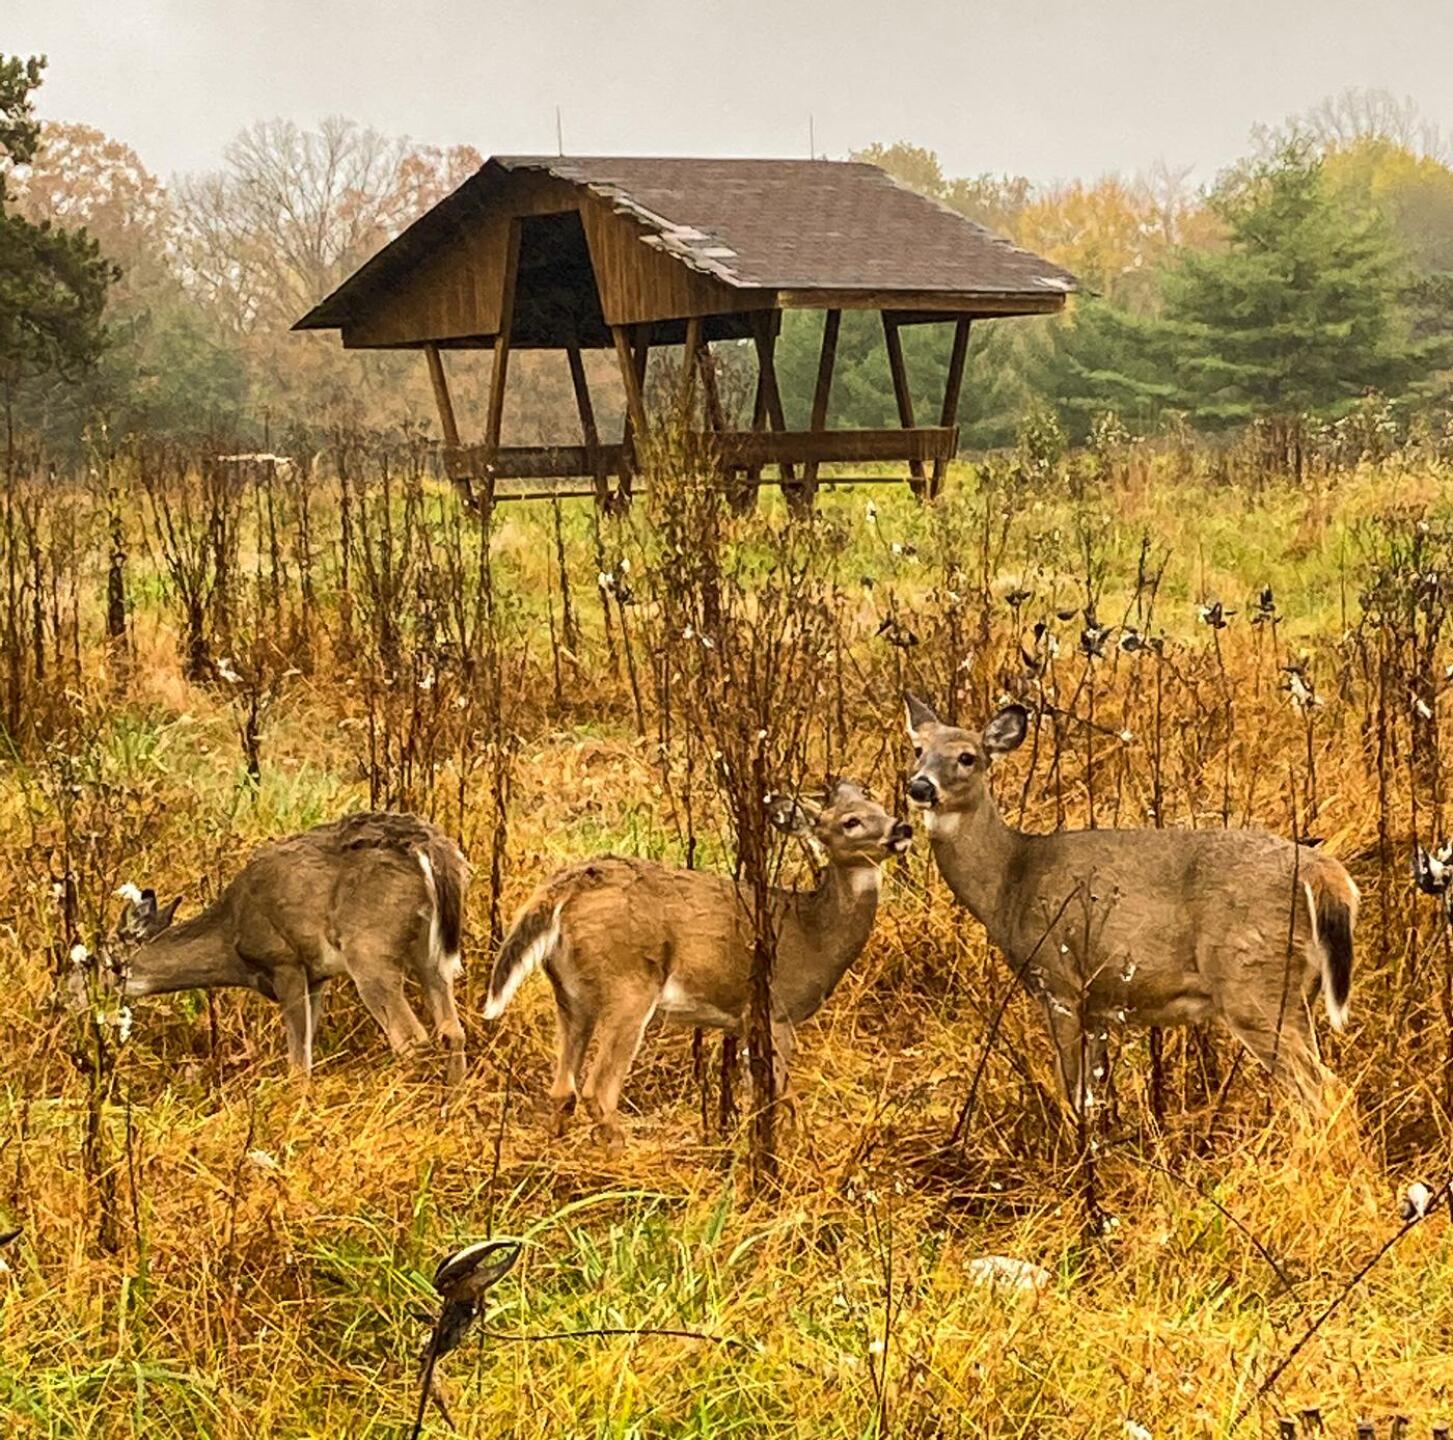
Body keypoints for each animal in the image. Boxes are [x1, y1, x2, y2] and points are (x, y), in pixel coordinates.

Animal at [112, 812, 470, 1084]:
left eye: (108, 963)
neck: (232, 936)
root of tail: (430, 849)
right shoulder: (317, 977)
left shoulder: (285, 961)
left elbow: (299, 1063)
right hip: (430, 954)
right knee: (453, 1031)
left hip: (370, 949)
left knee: (412, 1039)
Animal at [482, 780, 912, 1152]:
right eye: (850, 821)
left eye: (882, 808)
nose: (902, 827)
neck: (814, 935)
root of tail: (566, 886)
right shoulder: (777, 1010)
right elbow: (782, 1094)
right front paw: (793, 1147)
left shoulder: (745, 1023)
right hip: (630, 984)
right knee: (597, 1090)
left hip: (570, 994)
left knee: (562, 1089)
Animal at [903, 694, 1358, 1115]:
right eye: (918, 749)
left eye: (967, 757)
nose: (920, 787)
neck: (1010, 883)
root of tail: (1323, 872)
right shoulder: (1099, 1005)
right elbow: (1093, 1094)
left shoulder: (1058, 982)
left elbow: (1072, 1093)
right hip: (1297, 990)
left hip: (1253, 981)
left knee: (1325, 1088)